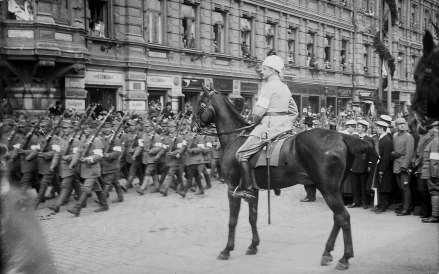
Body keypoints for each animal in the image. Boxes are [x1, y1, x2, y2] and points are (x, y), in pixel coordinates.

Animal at [196, 85, 378, 270]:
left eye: (201, 105)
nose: (195, 127)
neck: (236, 139)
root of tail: (341, 135)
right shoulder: (253, 190)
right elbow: (252, 217)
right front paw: (253, 245)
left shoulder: (232, 189)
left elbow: (232, 220)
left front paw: (227, 249)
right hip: (335, 189)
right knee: (337, 218)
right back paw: (327, 252)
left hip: (327, 189)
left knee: (343, 217)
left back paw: (344, 258)